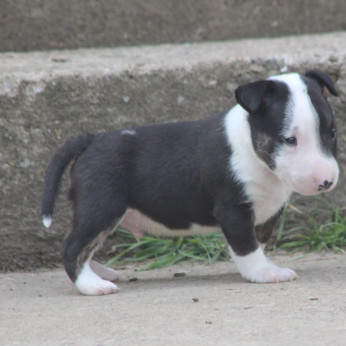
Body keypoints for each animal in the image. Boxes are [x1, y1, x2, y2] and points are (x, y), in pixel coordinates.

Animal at [42, 69, 340, 294]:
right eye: (289, 139)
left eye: (333, 132)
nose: (327, 181)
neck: (255, 153)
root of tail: (92, 139)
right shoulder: (233, 210)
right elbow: (247, 247)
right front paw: (264, 272)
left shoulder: (270, 211)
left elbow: (260, 243)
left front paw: (265, 264)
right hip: (102, 207)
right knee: (72, 246)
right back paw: (93, 285)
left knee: (85, 245)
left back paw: (100, 273)